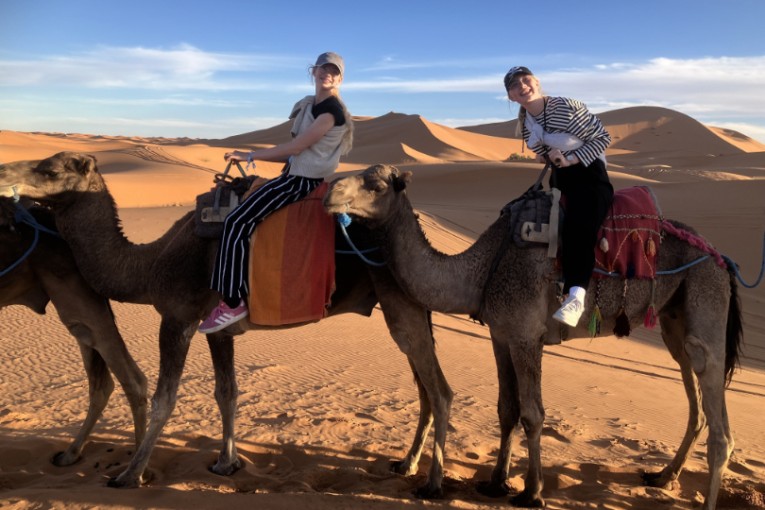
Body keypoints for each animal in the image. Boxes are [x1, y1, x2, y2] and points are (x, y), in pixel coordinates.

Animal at [320, 165, 740, 510]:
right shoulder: (500, 334)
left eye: (375, 185)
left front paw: (531, 492)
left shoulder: (525, 335)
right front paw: (496, 482)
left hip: (705, 297)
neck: (479, 270)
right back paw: (663, 476)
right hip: (673, 319)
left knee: (714, 401)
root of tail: (720, 256)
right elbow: (506, 409)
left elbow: (533, 414)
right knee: (696, 401)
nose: (330, 192)